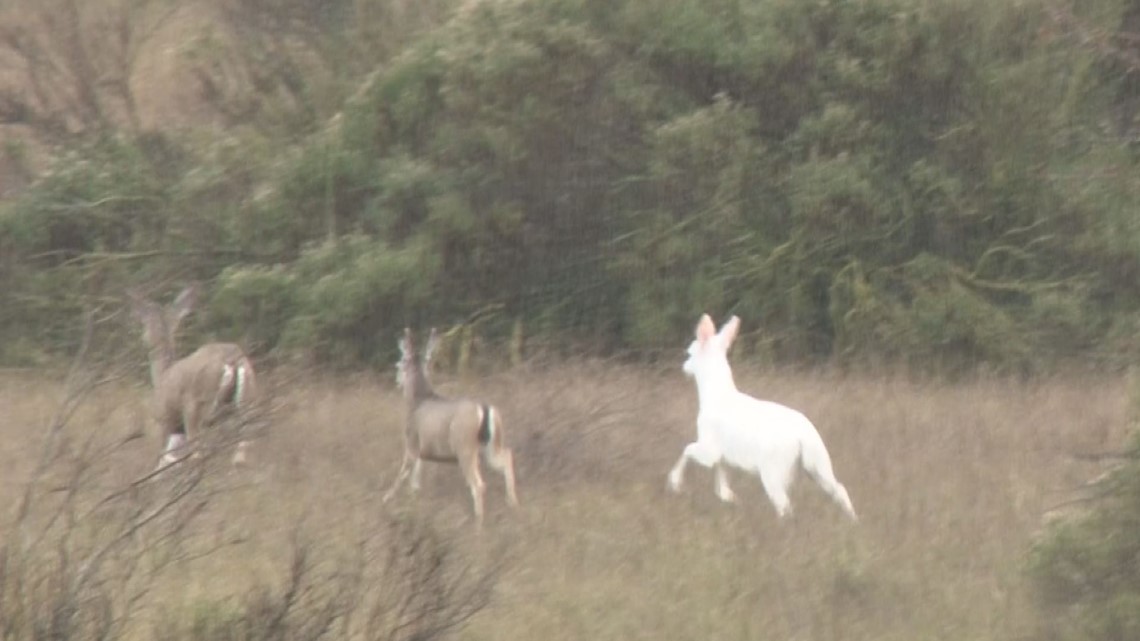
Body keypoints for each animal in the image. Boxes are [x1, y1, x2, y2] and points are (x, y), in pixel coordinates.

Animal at [128, 284, 257, 472]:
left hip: (197, 407)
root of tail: (232, 359)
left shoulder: (164, 420)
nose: (145, 342)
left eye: (144, 332)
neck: (162, 374)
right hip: (247, 398)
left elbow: (162, 459)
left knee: (198, 454)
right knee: (243, 450)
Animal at [383, 327, 519, 531]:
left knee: (478, 484)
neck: (417, 401)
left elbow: (402, 475)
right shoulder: (424, 453)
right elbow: (415, 483)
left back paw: (478, 525)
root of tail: (485, 409)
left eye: (398, 364)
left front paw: (386, 499)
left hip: (465, 448)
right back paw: (514, 504)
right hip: (490, 447)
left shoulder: (412, 444)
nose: (396, 381)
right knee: (506, 457)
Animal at [668, 313, 858, 522]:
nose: (684, 367)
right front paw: (728, 496)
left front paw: (674, 482)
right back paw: (853, 520)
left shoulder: (708, 446)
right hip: (818, 462)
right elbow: (721, 475)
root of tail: (804, 437)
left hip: (774, 469)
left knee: (784, 504)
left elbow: (687, 449)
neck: (714, 396)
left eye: (690, 352)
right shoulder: (721, 453)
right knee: (838, 488)